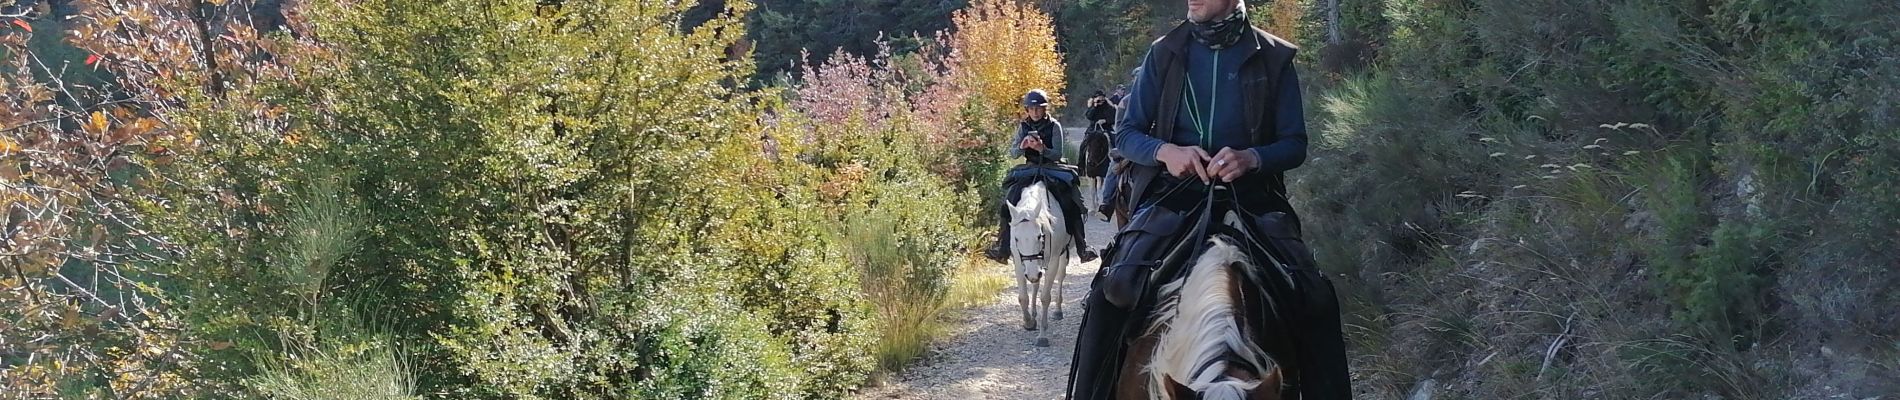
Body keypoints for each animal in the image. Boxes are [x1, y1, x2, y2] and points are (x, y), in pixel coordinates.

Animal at [1010, 181, 1071, 346]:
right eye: (1016, 238)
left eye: (1039, 236)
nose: (1032, 274)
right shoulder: (1019, 263)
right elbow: (1022, 297)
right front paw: (1029, 322)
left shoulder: (1053, 261)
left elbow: (1045, 298)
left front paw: (1042, 336)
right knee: (1036, 284)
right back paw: (1033, 313)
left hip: (1061, 255)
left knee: (1060, 277)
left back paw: (1058, 310)